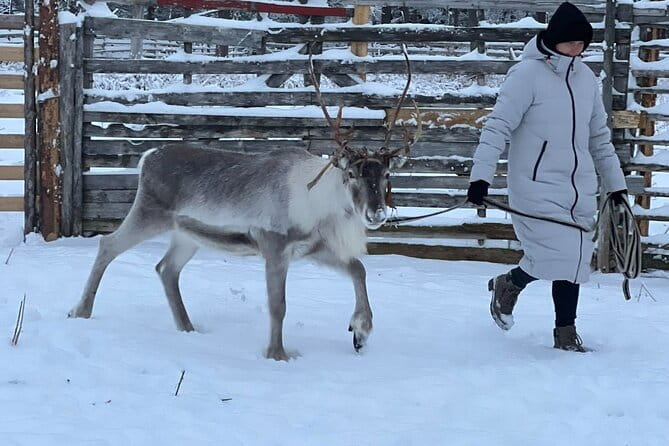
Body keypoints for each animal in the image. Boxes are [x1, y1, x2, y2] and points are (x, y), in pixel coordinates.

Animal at [68, 46, 421, 361]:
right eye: (350, 174)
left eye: (387, 173)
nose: (376, 213)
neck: (322, 208)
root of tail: (147, 157)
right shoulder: (273, 245)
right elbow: (278, 306)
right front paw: (277, 355)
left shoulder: (312, 248)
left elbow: (359, 269)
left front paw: (360, 331)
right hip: (149, 213)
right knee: (108, 245)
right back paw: (80, 311)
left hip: (186, 234)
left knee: (166, 269)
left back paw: (187, 328)